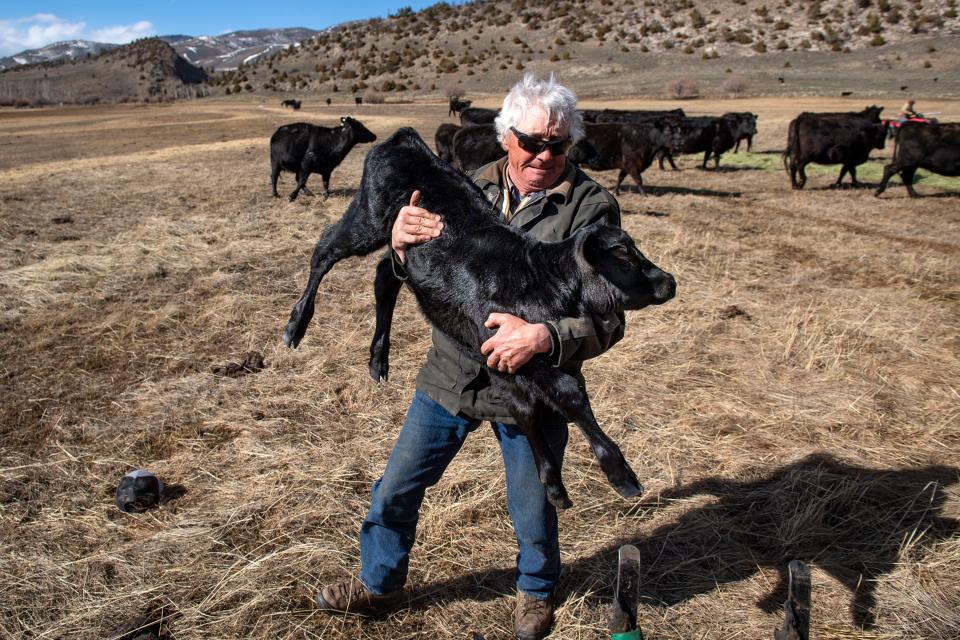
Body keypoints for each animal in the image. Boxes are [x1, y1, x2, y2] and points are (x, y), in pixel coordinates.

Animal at [282, 129, 680, 510]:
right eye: (624, 254)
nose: (669, 281)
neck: (537, 278)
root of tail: (405, 139)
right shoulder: (501, 347)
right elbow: (566, 394)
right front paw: (621, 474)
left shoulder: (502, 355)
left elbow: (528, 407)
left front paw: (553, 484)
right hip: (367, 219)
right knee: (326, 249)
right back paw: (296, 325)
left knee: (384, 275)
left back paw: (378, 358)